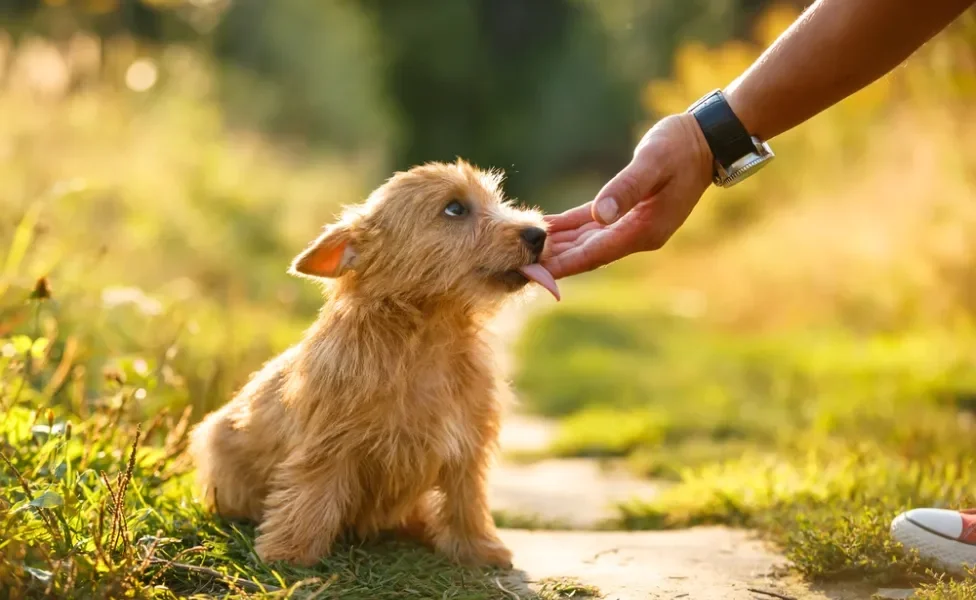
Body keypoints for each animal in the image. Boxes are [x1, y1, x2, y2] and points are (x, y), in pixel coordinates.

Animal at [188, 158, 560, 568]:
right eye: (455, 209)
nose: (538, 234)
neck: (427, 338)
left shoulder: (466, 444)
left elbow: (467, 501)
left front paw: (480, 548)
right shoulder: (328, 445)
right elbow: (309, 497)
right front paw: (290, 554)